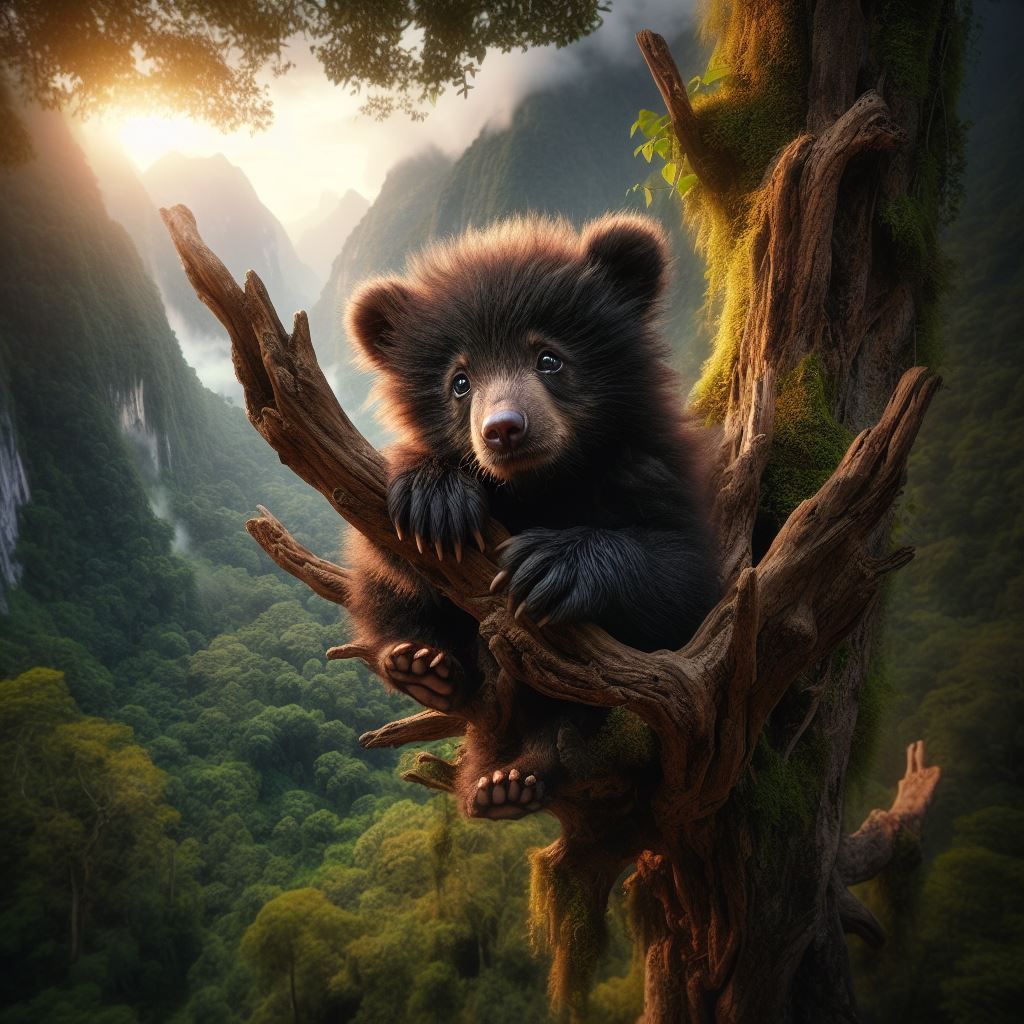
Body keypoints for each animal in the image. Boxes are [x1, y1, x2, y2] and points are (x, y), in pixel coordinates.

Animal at [344, 213, 720, 820]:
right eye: (460, 381)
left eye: (549, 359)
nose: (503, 429)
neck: (539, 483)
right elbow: (389, 542)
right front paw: (435, 499)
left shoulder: (654, 466)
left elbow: (684, 578)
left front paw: (551, 565)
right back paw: (423, 667)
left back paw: (510, 780)